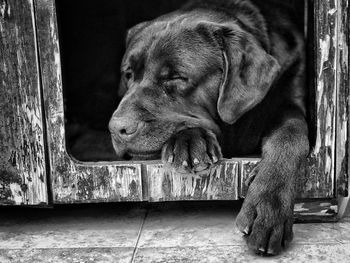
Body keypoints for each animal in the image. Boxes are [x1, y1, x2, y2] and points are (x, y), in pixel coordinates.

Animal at [108, 0, 308, 256]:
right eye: (128, 74)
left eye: (176, 77)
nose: (117, 128)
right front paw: (190, 142)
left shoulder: (291, 100)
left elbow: (290, 134)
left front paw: (268, 210)